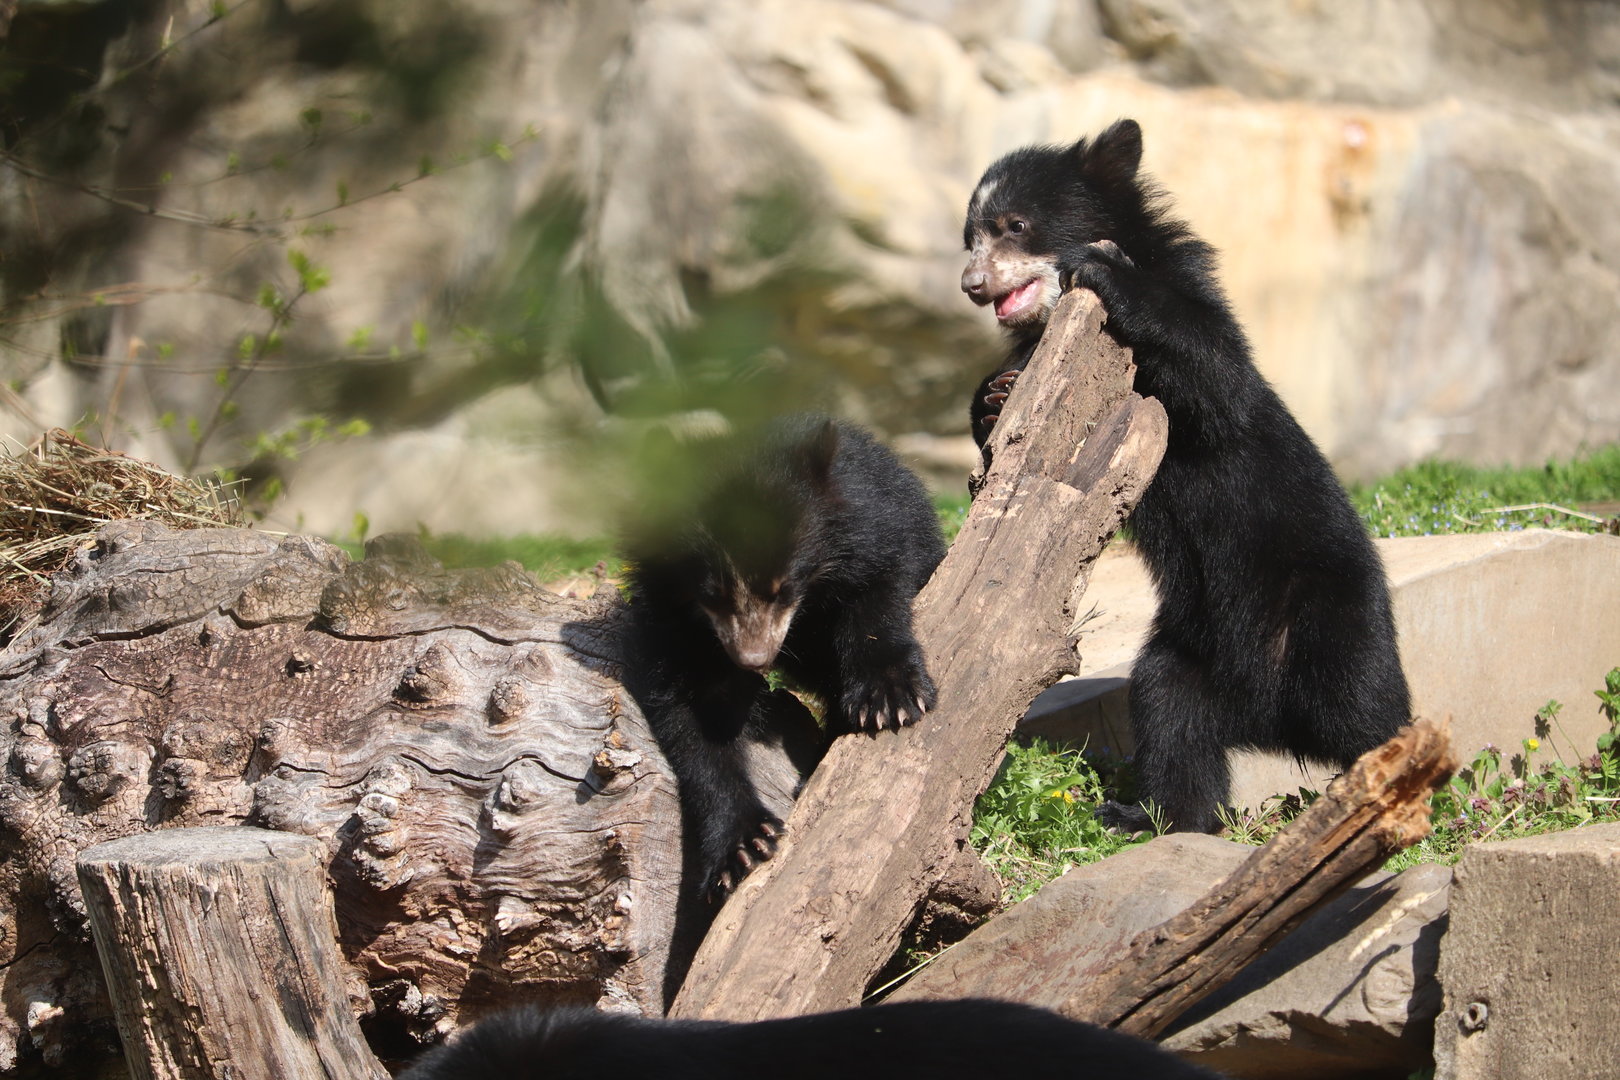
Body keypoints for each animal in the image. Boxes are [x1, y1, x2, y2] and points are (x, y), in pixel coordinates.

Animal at [619, 413, 945, 900]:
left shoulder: (875, 527)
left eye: (784, 587)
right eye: (712, 594)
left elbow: (880, 592)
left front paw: (889, 700)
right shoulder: (673, 625)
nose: (752, 659)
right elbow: (698, 721)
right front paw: (742, 848)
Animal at [960, 119, 1411, 834]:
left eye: (1016, 225)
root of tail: (1274, 724)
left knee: (1365, 702)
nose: (972, 283)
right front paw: (995, 396)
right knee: (1170, 711)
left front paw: (1102, 269)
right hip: (1191, 652)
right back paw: (1147, 814)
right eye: (970, 236)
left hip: (1334, 608)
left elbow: (1219, 381)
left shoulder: (1197, 328)